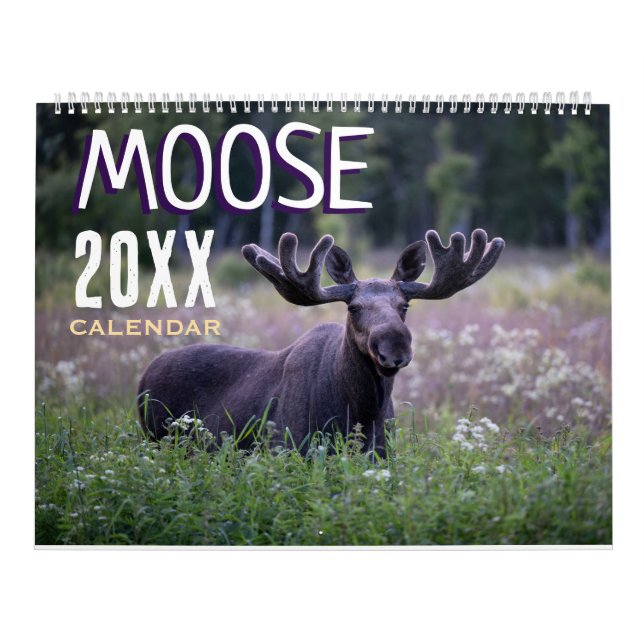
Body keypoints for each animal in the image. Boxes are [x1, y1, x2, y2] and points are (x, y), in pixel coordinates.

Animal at [138, 228, 505, 454]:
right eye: (353, 307)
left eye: (405, 306)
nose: (395, 348)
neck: (362, 412)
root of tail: (143, 377)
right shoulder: (287, 450)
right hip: (156, 439)